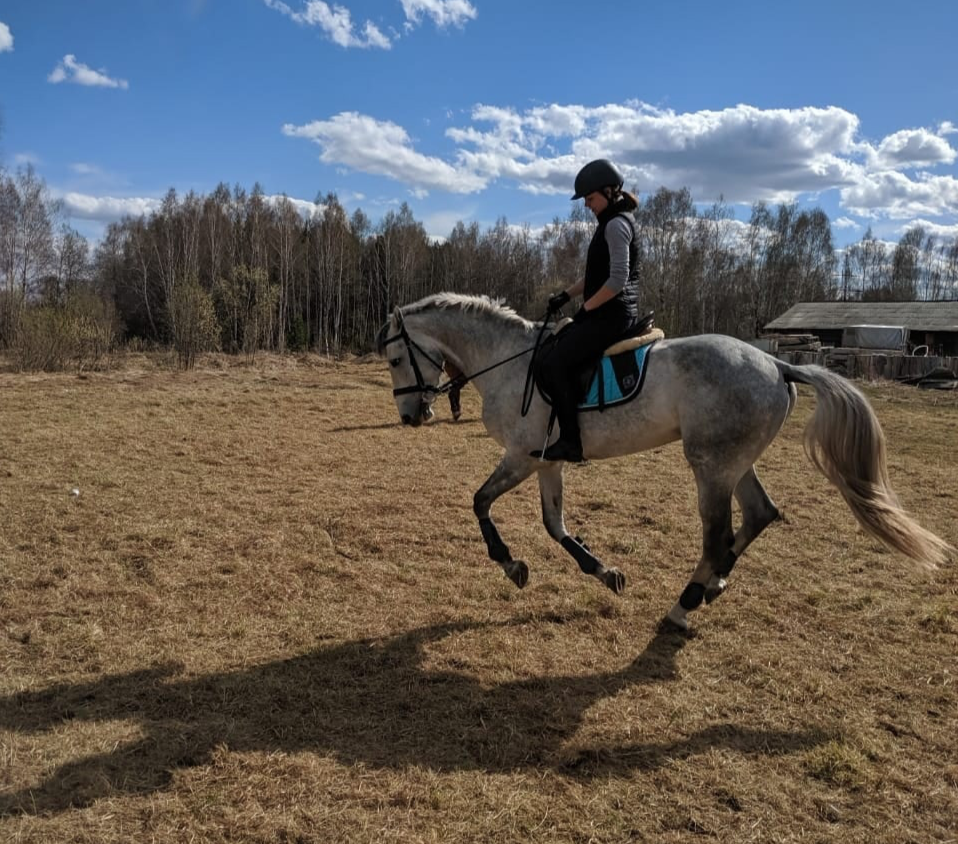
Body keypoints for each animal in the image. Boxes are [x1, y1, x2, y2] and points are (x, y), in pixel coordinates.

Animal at [376, 294, 952, 628]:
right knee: (760, 514)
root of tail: (777, 363)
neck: (508, 363)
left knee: (718, 535)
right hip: (734, 462)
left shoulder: (520, 455)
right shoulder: (546, 461)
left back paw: (686, 602)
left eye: (394, 357)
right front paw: (604, 572)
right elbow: (554, 525)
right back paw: (713, 586)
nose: (411, 416)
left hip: (711, 466)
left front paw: (511, 563)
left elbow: (480, 503)